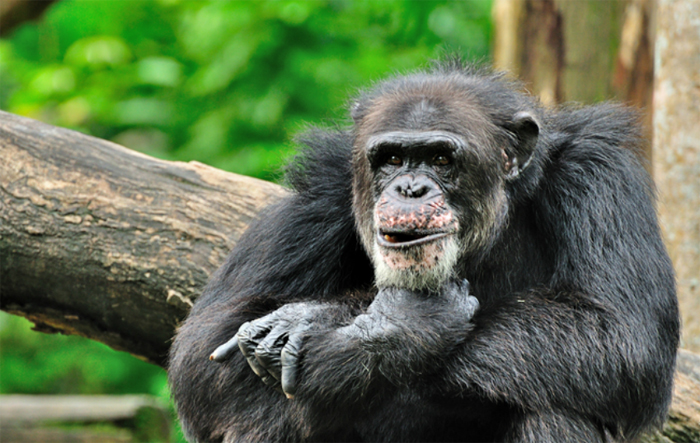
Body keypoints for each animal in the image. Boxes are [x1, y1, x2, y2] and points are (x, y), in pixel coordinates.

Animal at [168, 59, 680, 443]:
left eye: (440, 158)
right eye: (392, 158)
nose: (410, 189)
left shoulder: (600, 177)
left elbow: (620, 333)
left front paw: (323, 321)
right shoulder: (318, 194)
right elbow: (207, 351)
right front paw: (402, 326)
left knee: (558, 406)